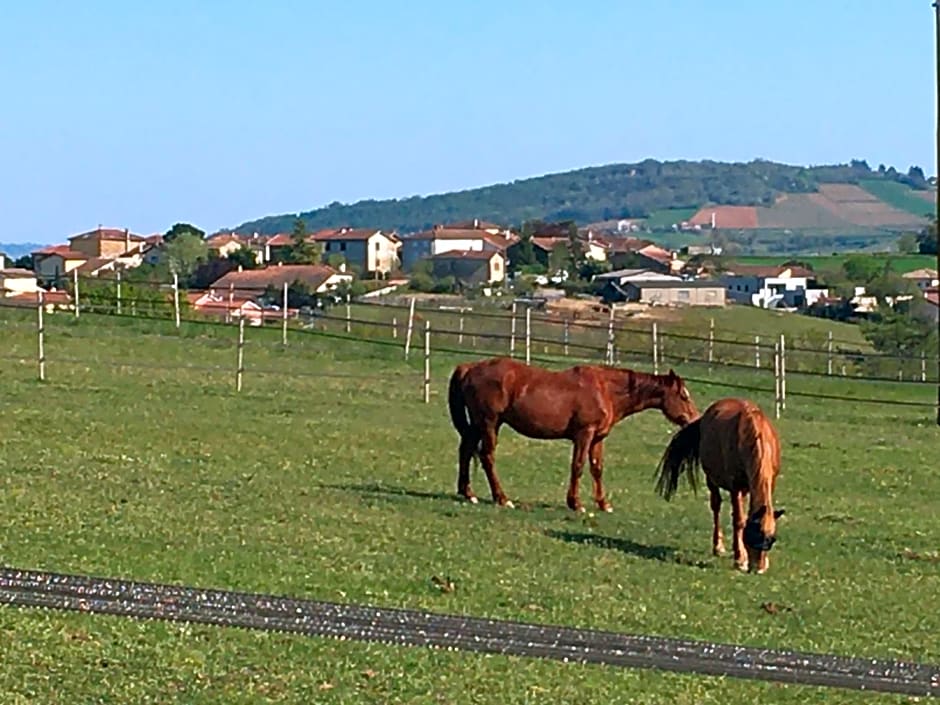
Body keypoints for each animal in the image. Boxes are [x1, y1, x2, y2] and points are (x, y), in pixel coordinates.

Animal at [448, 358, 696, 512]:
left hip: (478, 425)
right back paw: (502, 498)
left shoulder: (597, 438)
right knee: (487, 456)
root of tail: (470, 367)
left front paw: (603, 504)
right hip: (489, 423)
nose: (694, 420)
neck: (605, 389)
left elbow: (597, 469)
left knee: (466, 450)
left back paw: (468, 492)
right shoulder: (584, 434)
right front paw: (575, 504)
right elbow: (578, 467)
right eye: (684, 396)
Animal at [648, 396, 784, 572]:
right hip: (711, 480)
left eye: (771, 539)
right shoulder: (735, 487)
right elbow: (739, 521)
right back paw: (718, 547)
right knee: (716, 506)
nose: (758, 568)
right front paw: (740, 559)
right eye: (753, 535)